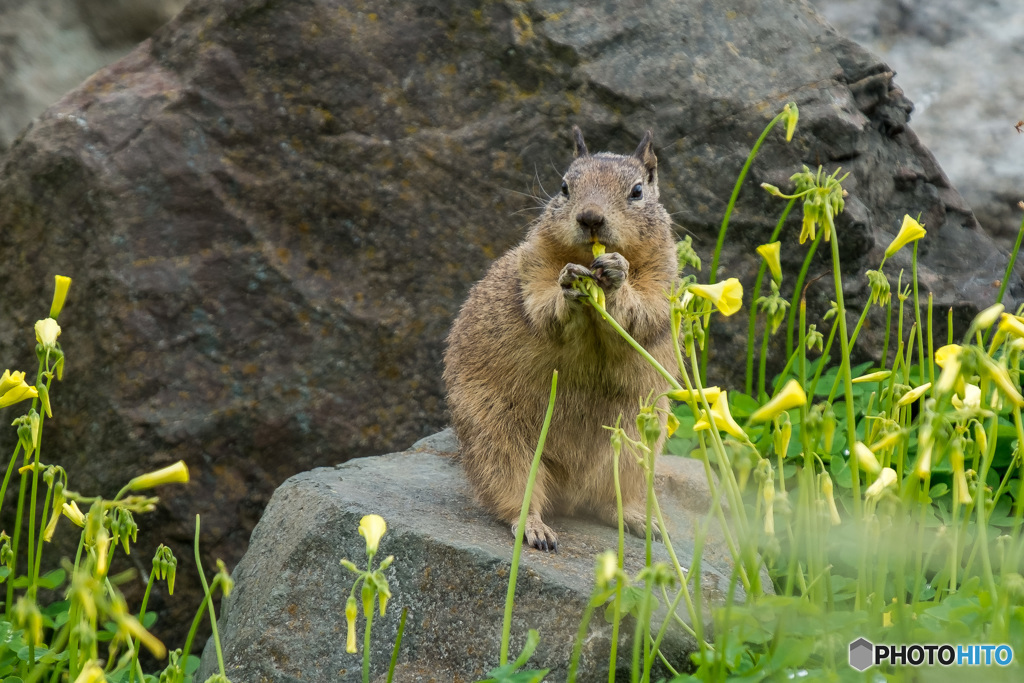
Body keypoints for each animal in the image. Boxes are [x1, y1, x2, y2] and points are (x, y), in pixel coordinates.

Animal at [442, 127, 675, 552]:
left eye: (637, 191)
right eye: (564, 187)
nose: (590, 217)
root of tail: (570, 490)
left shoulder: (662, 274)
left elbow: (645, 308)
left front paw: (617, 275)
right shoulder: (533, 267)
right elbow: (544, 303)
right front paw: (569, 283)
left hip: (636, 447)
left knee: (609, 501)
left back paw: (640, 519)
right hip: (499, 443)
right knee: (516, 495)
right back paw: (537, 530)